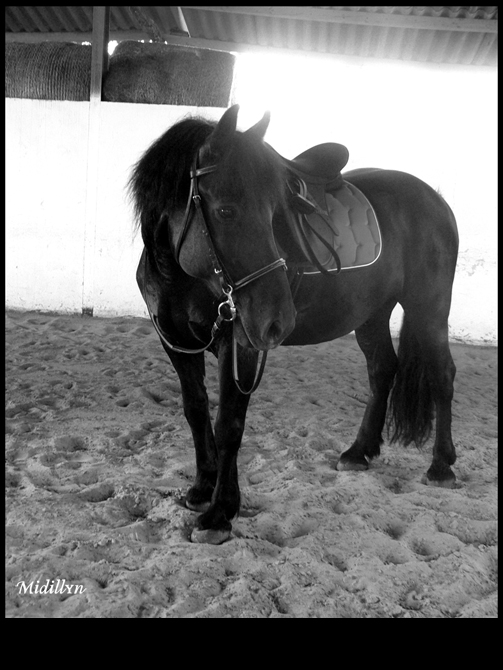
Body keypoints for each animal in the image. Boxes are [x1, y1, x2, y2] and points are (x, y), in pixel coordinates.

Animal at [131, 105, 460, 544]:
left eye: (274, 212)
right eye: (226, 211)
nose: (278, 320)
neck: (184, 276)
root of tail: (435, 200)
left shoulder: (241, 343)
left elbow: (229, 424)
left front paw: (221, 511)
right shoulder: (176, 341)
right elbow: (196, 411)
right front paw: (203, 489)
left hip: (429, 309)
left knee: (442, 375)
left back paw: (441, 465)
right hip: (371, 313)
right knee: (382, 369)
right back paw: (359, 451)